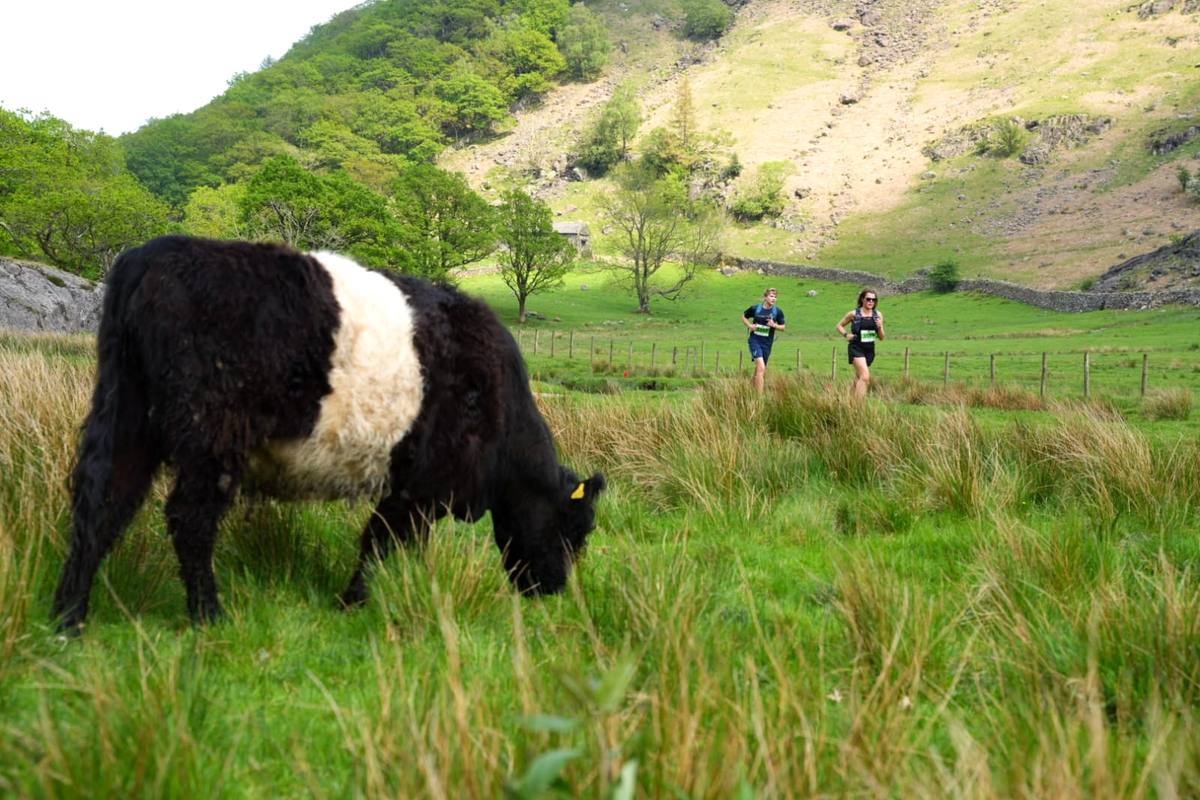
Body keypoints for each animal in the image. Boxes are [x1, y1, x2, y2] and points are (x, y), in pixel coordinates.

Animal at [52, 235, 606, 631]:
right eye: (577, 527)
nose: (553, 591)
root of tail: (151, 254)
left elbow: (402, 547)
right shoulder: (418, 487)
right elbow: (380, 542)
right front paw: (351, 602)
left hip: (124, 413)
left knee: (103, 501)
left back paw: (68, 617)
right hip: (211, 437)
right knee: (189, 519)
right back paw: (209, 617)